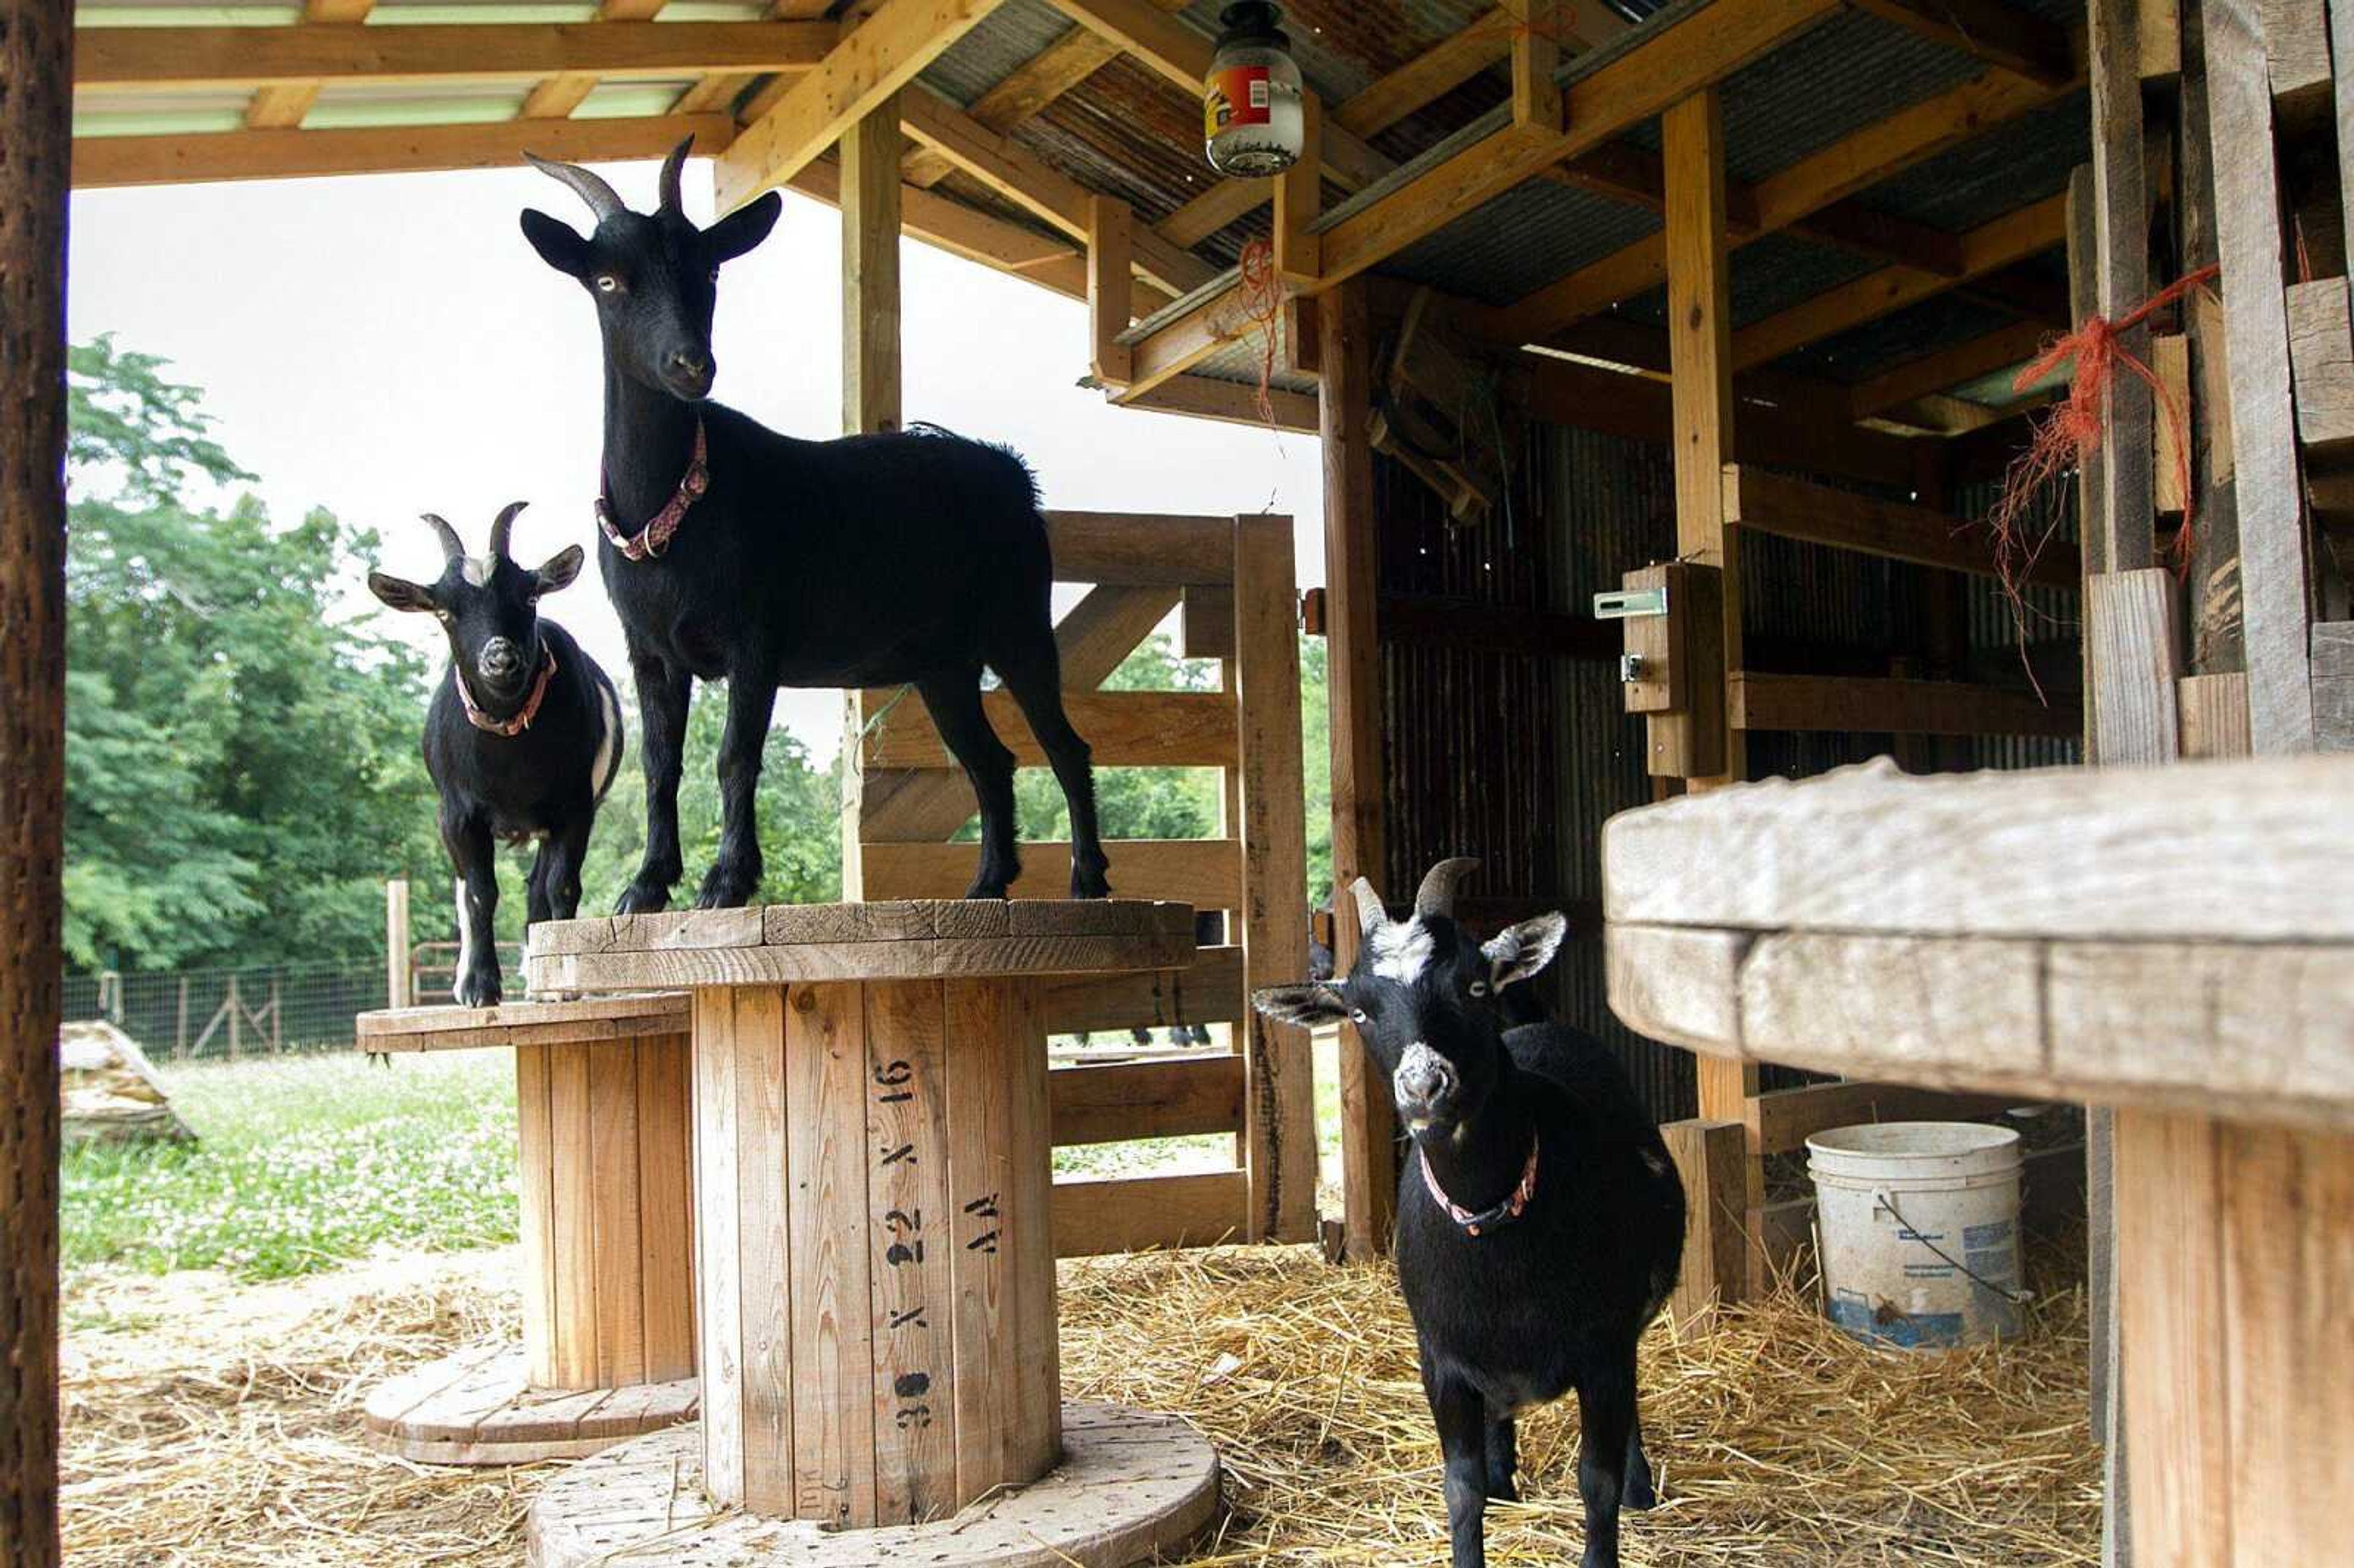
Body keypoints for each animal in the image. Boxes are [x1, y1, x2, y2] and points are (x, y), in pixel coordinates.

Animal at [367, 506, 626, 1007]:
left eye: (529, 596)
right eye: (444, 611)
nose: (500, 659)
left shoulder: (575, 808)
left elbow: (561, 885)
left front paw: (561, 982)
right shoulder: (456, 816)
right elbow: (478, 893)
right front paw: (479, 986)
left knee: (537, 888)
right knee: (467, 889)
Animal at [520, 143, 1106, 918]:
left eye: (709, 271)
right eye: (608, 280)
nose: (691, 364)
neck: (673, 508)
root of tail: (1012, 471)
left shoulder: (755, 638)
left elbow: (735, 755)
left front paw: (725, 882)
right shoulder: (650, 650)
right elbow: (659, 761)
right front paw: (646, 885)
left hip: (1018, 622)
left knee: (1064, 743)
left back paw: (1088, 879)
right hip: (943, 663)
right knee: (991, 757)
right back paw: (986, 883)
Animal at [1252, 857, 1694, 1563]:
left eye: (1475, 984)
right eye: (1358, 1008)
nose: (1425, 1086)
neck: (1494, 1224)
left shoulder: (1603, 1350)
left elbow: (1594, 1481)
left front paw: (1617, 1501)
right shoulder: (1442, 1362)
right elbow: (1460, 1487)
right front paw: (1482, 1490)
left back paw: (1639, 1484)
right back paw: (1503, 1474)